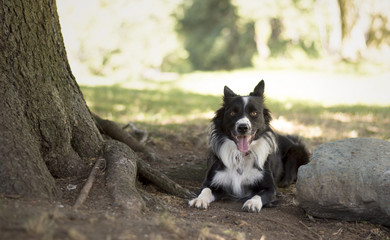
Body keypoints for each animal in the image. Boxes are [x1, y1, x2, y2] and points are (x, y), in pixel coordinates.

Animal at [187, 80, 310, 212]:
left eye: (254, 113)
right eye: (232, 113)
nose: (243, 127)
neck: (241, 155)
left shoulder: (270, 188)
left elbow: (258, 195)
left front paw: (252, 203)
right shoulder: (213, 181)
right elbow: (205, 190)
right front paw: (199, 200)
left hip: (296, 150)